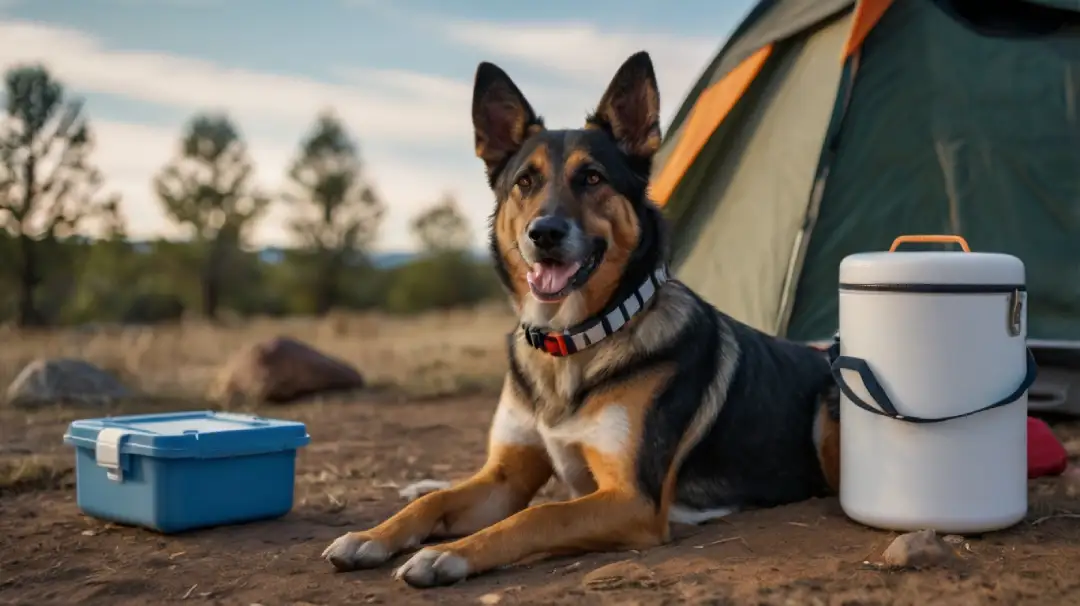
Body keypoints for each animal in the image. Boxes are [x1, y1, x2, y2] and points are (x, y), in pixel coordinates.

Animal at [319, 49, 842, 587]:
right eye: (524, 182)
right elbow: (436, 500)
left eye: (592, 177)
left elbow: (538, 515)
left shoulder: (631, 500)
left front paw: (447, 554)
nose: (544, 233)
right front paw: (371, 537)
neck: (571, 341)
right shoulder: (505, 477)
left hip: (828, 408)